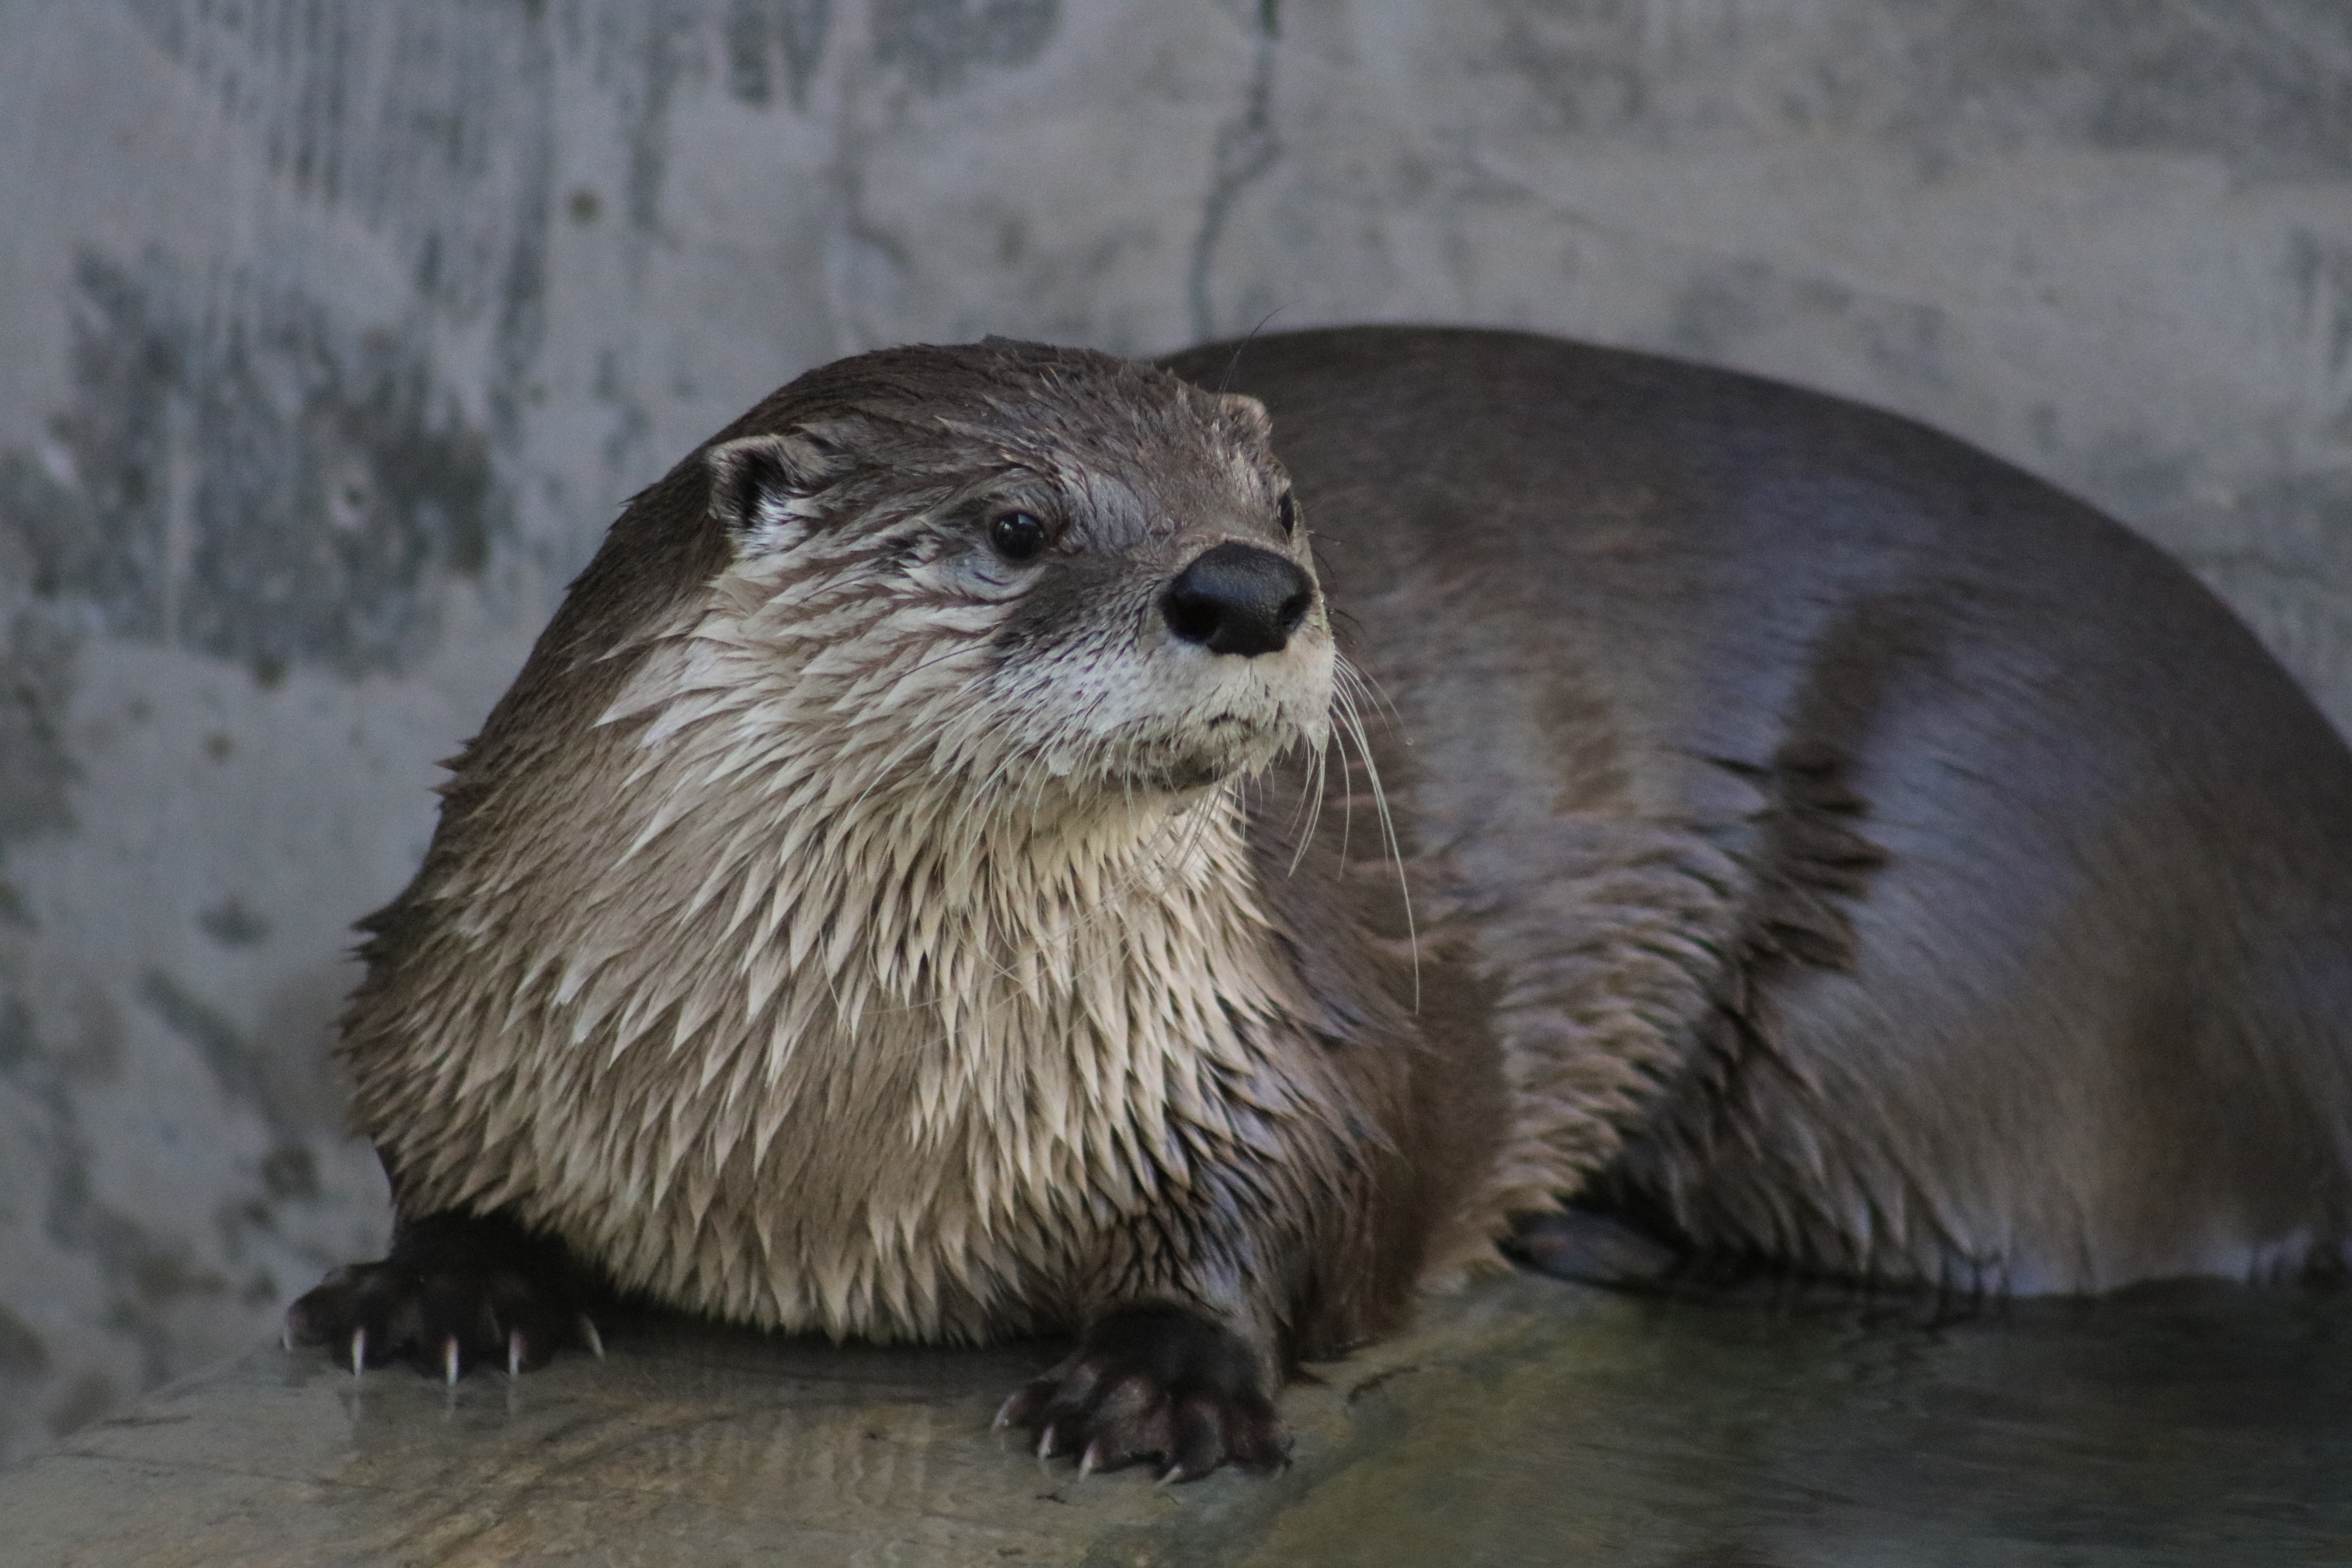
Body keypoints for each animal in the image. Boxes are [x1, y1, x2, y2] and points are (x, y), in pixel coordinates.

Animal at [285, 324, 2352, 1476]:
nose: (1246, 587)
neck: (834, 1140)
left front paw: (1164, 1382)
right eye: (1018, 524)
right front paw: (441, 1282)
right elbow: (431, 1144)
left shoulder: (1282, 1031)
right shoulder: (450, 982)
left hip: (1947, 973)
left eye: (1277, 504)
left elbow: (1316, 1189)